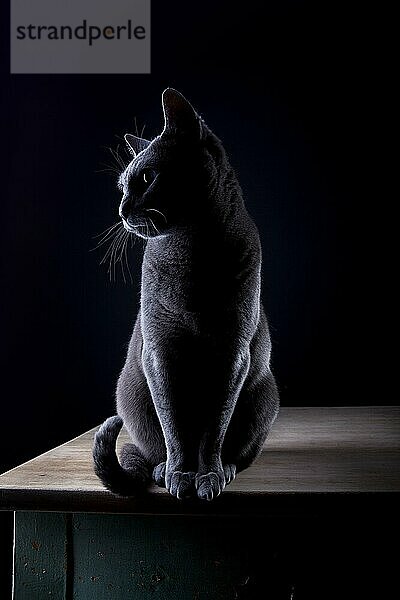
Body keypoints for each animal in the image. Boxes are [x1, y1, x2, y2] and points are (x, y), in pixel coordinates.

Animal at [93, 90, 280, 502]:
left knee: (238, 449)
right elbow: (174, 425)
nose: (121, 209)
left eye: (147, 177)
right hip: (132, 395)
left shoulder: (232, 353)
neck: (193, 251)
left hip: (264, 395)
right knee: (153, 446)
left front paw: (208, 477)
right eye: (122, 185)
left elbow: (213, 428)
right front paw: (180, 475)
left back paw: (226, 469)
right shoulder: (160, 351)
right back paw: (162, 469)